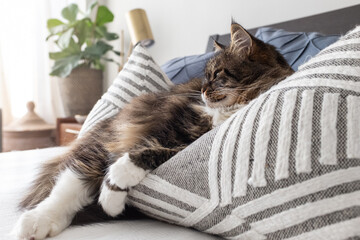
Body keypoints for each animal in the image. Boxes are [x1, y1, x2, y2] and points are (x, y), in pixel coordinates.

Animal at [12, 23, 294, 240]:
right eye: (205, 77)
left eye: (216, 74)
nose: (203, 91)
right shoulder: (171, 123)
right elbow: (140, 151)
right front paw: (111, 199)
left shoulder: (184, 140)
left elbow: (145, 155)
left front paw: (112, 193)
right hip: (100, 146)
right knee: (68, 183)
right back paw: (35, 223)